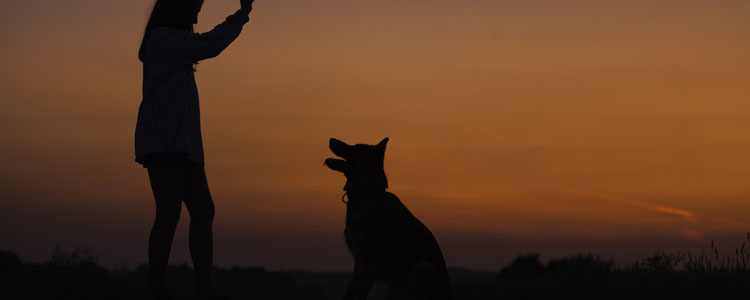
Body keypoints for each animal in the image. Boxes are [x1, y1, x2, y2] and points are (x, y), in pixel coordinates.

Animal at [324, 138, 452, 300]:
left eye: (355, 148)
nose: (331, 139)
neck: (369, 194)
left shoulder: (367, 265)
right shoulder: (360, 263)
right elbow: (350, 293)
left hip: (422, 269)